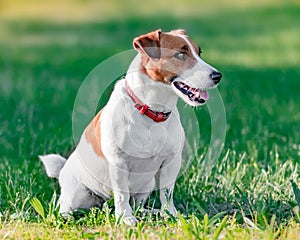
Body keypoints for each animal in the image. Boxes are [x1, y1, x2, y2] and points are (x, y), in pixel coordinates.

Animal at [39, 29, 221, 226]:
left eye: (199, 52)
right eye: (180, 54)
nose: (218, 76)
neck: (152, 111)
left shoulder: (171, 161)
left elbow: (167, 193)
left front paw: (170, 214)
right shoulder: (119, 163)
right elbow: (122, 196)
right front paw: (125, 218)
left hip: (147, 185)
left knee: (139, 206)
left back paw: (152, 212)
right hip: (77, 195)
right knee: (66, 209)